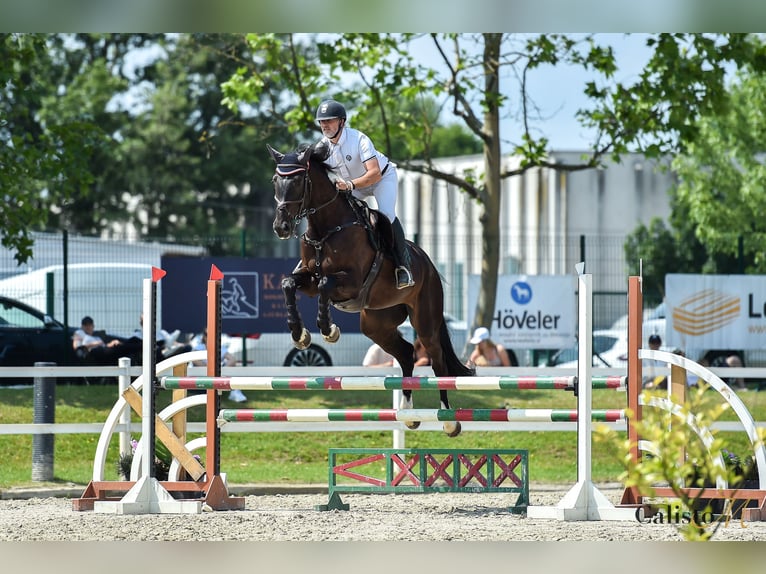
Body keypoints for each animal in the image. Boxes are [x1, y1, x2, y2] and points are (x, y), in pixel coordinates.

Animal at [268, 143, 474, 436]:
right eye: (275, 181)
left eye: (298, 181)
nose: (281, 227)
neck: (326, 229)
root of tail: (428, 262)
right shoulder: (307, 280)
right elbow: (288, 284)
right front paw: (300, 335)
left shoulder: (350, 281)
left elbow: (325, 285)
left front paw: (328, 330)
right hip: (376, 323)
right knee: (406, 353)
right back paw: (409, 414)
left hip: (425, 320)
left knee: (437, 360)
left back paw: (448, 419)